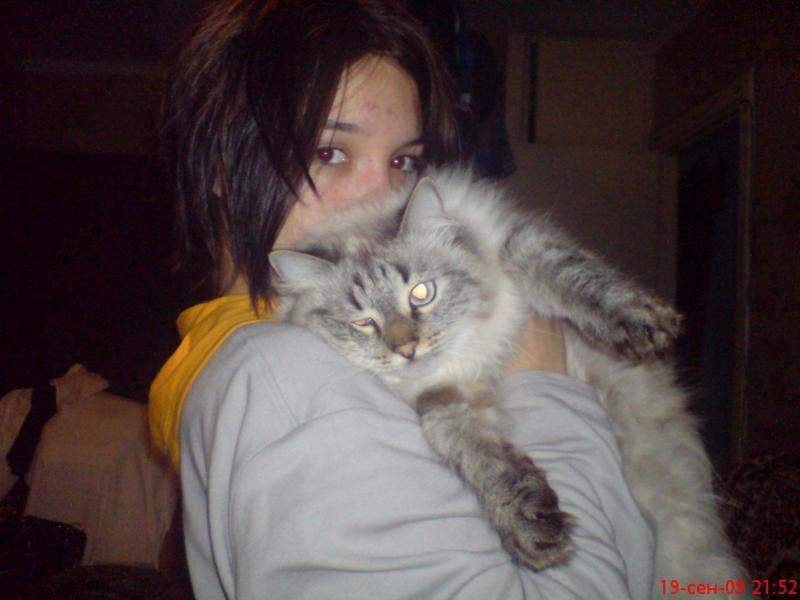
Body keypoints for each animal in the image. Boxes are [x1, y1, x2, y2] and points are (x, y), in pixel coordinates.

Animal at [269, 167, 745, 595]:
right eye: (364, 322)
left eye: (421, 294)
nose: (406, 350)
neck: (475, 351)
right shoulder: (445, 400)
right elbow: (485, 461)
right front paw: (534, 529)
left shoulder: (518, 242)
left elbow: (576, 279)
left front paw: (640, 322)